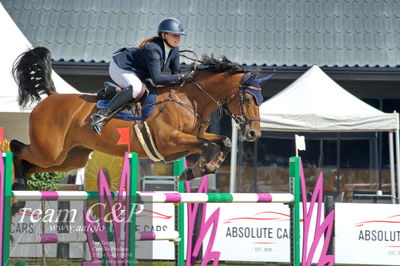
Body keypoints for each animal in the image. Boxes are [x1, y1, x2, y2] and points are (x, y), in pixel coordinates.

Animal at [10, 46, 270, 188]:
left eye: (260, 100)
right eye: (248, 99)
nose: (253, 133)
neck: (191, 99)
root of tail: (51, 97)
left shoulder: (193, 137)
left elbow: (222, 141)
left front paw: (206, 168)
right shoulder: (169, 141)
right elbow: (207, 145)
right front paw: (193, 172)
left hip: (70, 158)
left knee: (31, 163)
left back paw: (21, 184)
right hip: (50, 151)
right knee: (16, 146)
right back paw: (18, 182)